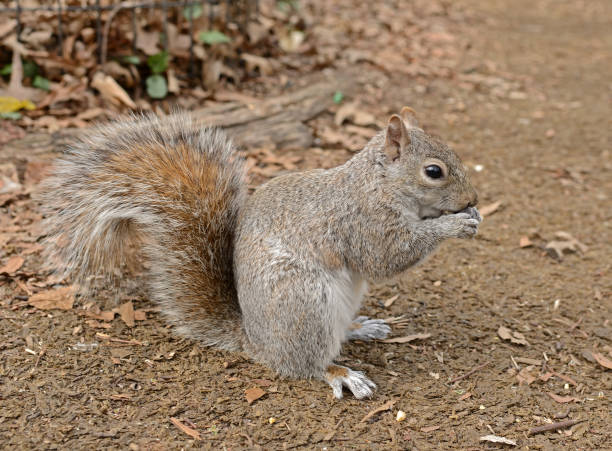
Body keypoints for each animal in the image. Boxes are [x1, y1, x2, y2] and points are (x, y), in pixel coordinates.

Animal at [43, 108, 482, 400]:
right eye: (433, 171)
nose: (473, 199)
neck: (379, 184)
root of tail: (255, 341)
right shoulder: (363, 222)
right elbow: (388, 256)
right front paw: (455, 225)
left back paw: (360, 327)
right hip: (304, 302)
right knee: (305, 364)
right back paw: (340, 373)